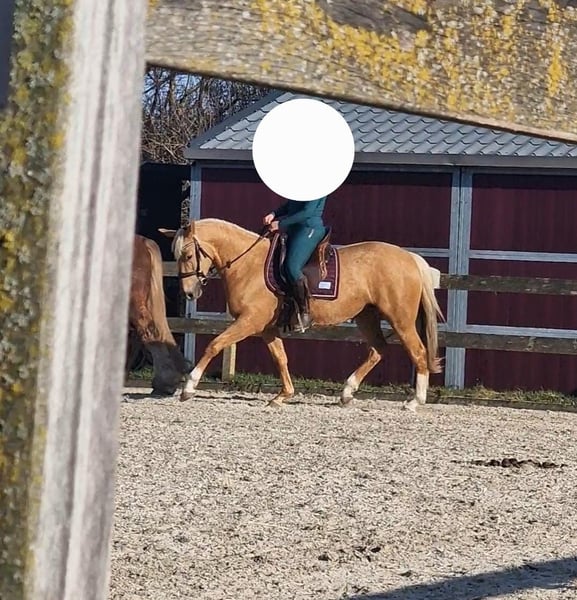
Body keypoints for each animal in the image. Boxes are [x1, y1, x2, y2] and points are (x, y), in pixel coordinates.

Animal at [160, 218, 444, 411]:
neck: (248, 264)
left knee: (417, 351)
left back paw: (414, 401)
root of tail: (409, 258)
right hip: (367, 316)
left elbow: (215, 344)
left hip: (400, 319)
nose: (189, 292)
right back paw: (347, 393)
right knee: (378, 350)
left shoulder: (248, 322)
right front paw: (282, 395)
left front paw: (189, 387)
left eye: (188, 254)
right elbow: (280, 358)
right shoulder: (267, 329)